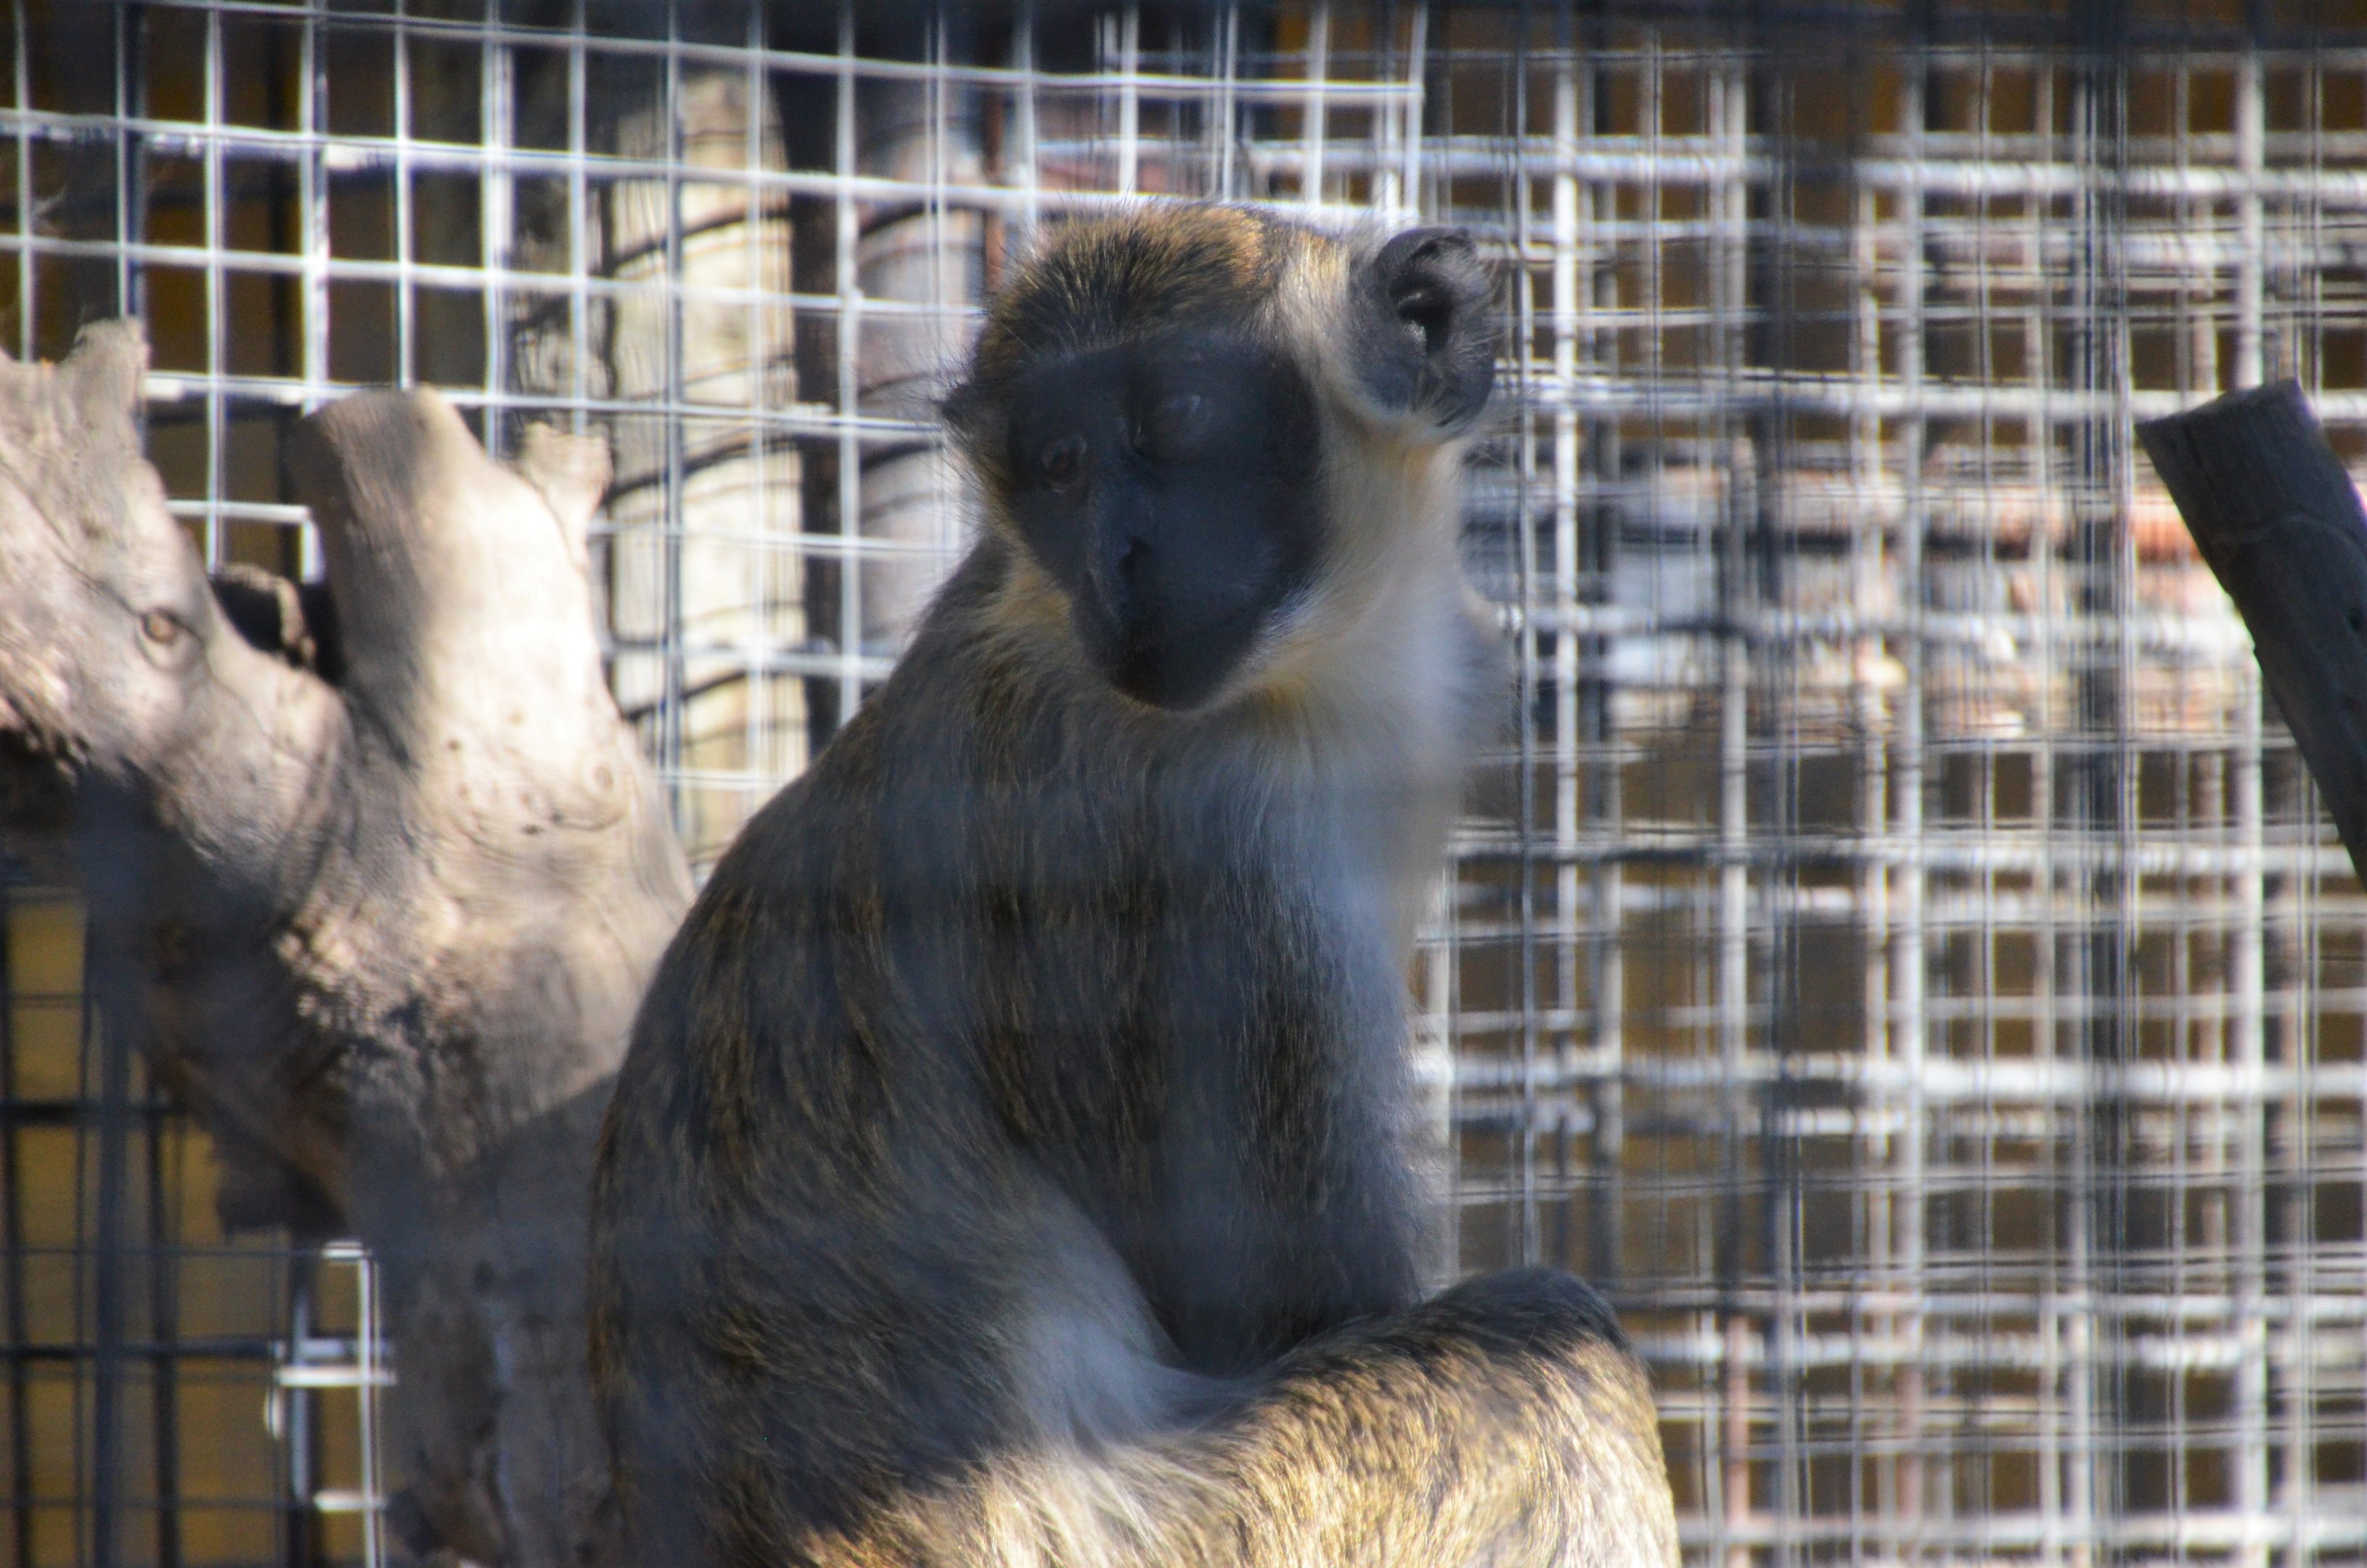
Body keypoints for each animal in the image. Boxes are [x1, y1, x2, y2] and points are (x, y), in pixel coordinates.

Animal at [589, 205, 1678, 1568]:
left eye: (1185, 421)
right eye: (1060, 466)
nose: (1119, 555)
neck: (1321, 678)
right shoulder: (1187, 849)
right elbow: (1296, 1315)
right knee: (1545, 1350)